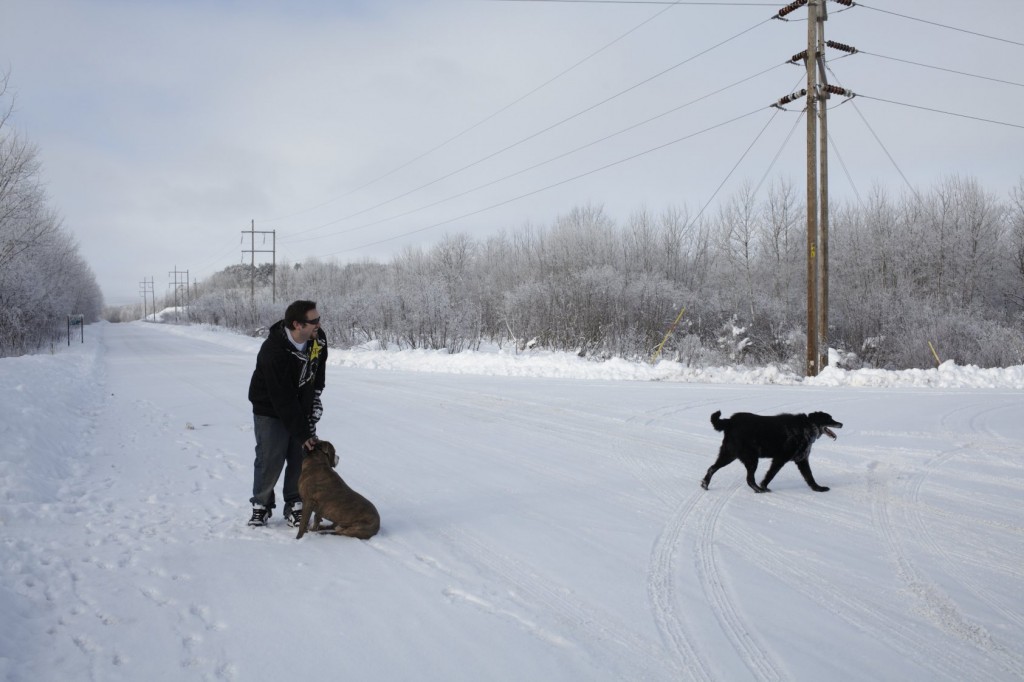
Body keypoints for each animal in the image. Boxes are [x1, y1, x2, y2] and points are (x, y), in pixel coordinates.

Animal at [704, 405, 839, 491]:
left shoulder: (802, 460)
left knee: (712, 468)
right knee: (749, 479)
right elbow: (771, 474)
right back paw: (759, 490)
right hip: (750, 459)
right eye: (829, 418)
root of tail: (729, 422)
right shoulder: (780, 458)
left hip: (729, 454)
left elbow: (810, 477)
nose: (841, 424)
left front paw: (818, 488)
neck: (807, 427)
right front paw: (764, 485)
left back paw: (705, 484)